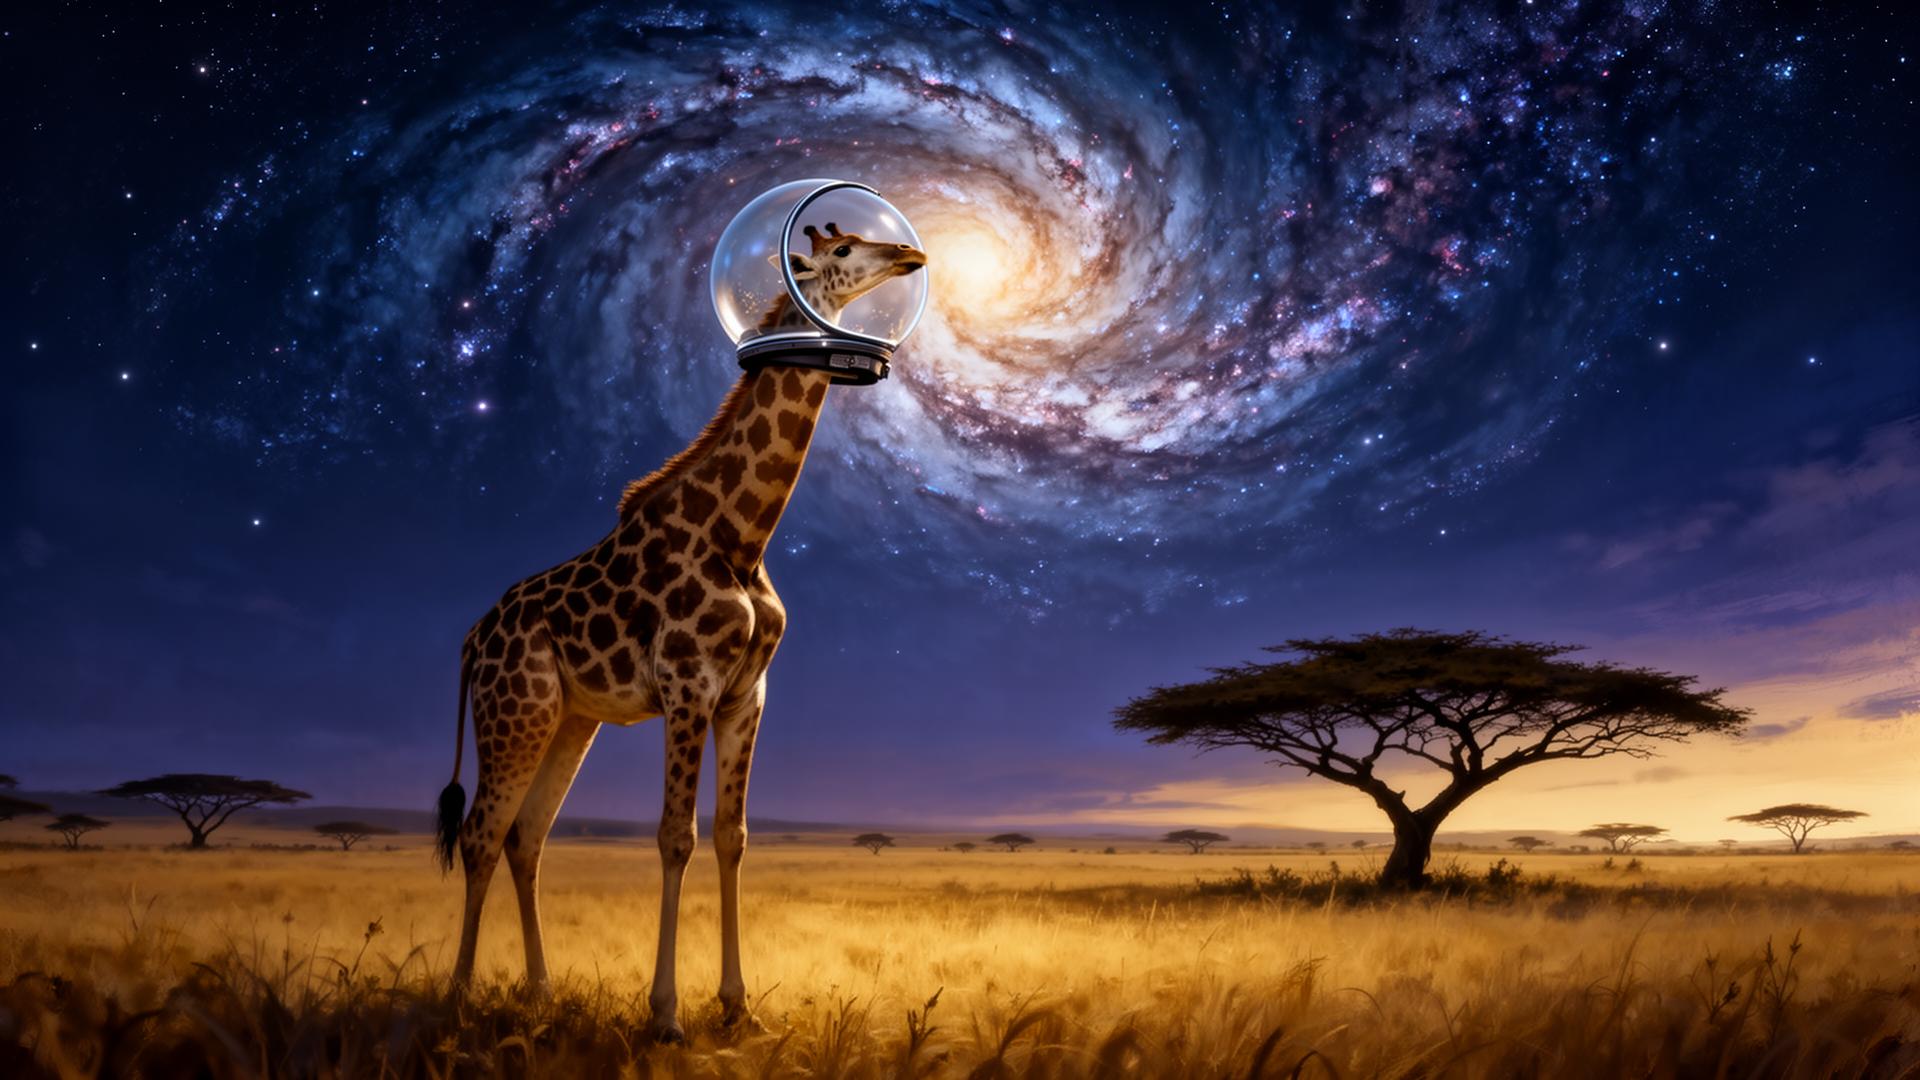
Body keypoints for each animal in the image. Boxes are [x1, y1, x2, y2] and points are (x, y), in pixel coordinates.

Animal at [433, 222, 926, 1043]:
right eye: (844, 250)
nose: (911, 256)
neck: (743, 536)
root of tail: (474, 639)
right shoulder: (688, 682)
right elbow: (675, 837)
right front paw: (665, 1016)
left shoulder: (746, 695)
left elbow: (732, 836)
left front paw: (738, 1007)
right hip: (516, 711)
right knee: (479, 832)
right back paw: (460, 1000)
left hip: (570, 719)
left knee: (525, 837)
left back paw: (540, 994)